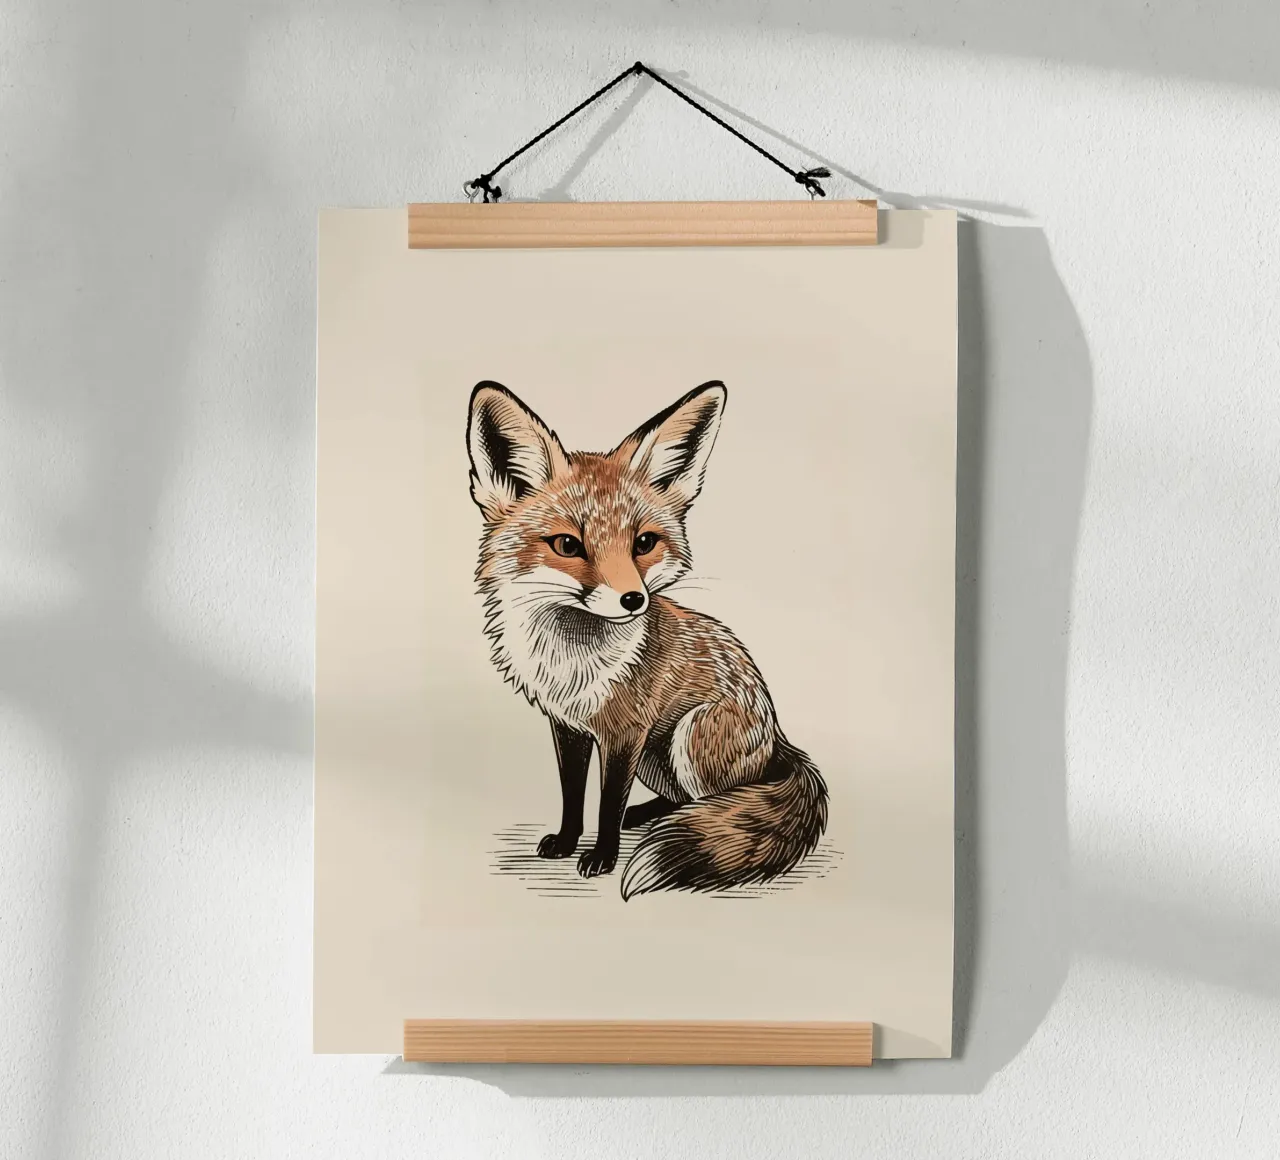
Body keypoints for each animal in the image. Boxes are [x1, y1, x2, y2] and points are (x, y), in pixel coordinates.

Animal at [465, 379, 828, 898]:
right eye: (568, 545)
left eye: (643, 543)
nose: (633, 599)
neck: (571, 661)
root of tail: (778, 737)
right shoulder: (569, 726)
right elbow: (573, 793)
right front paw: (568, 842)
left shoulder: (626, 731)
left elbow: (607, 803)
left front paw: (602, 856)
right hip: (659, 760)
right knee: (684, 800)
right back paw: (647, 816)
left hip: (688, 735)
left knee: (721, 802)